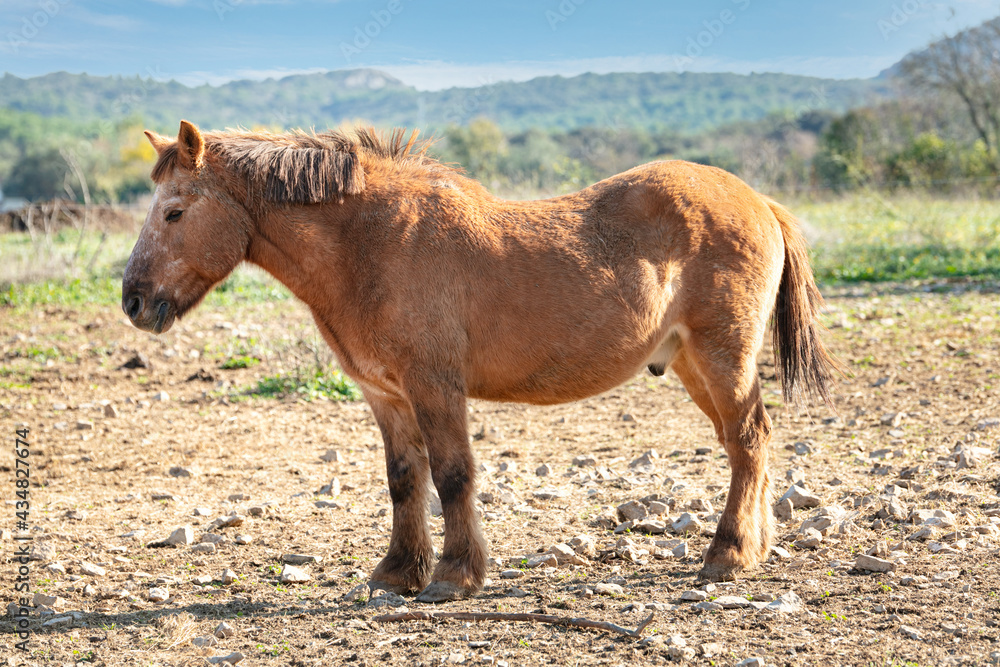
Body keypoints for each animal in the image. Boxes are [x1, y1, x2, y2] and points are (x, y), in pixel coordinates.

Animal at [123, 120, 839, 602]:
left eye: (175, 211)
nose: (133, 300)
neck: (372, 243)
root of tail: (759, 201)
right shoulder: (387, 396)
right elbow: (404, 480)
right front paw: (396, 574)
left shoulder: (435, 387)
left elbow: (453, 475)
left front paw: (453, 576)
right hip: (693, 365)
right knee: (747, 443)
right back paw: (752, 547)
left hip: (723, 356)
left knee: (749, 439)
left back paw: (728, 555)